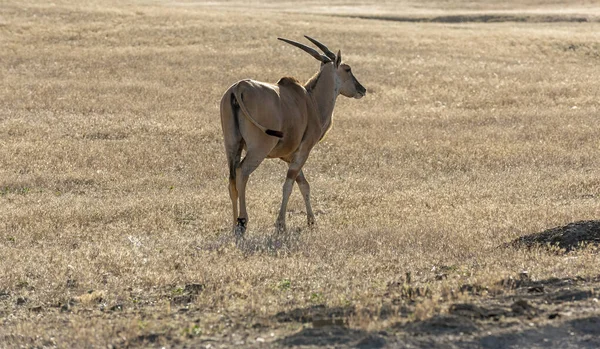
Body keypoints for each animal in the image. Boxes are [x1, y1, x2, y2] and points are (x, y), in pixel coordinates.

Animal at [220, 35, 366, 235]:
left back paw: (234, 223)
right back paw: (242, 221)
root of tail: (239, 87)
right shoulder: (303, 152)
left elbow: (303, 184)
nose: (362, 89)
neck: (310, 101)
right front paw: (281, 223)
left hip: (232, 146)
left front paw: (311, 221)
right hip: (258, 149)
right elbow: (288, 185)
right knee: (243, 172)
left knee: (232, 178)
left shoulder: (290, 156)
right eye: (348, 69)